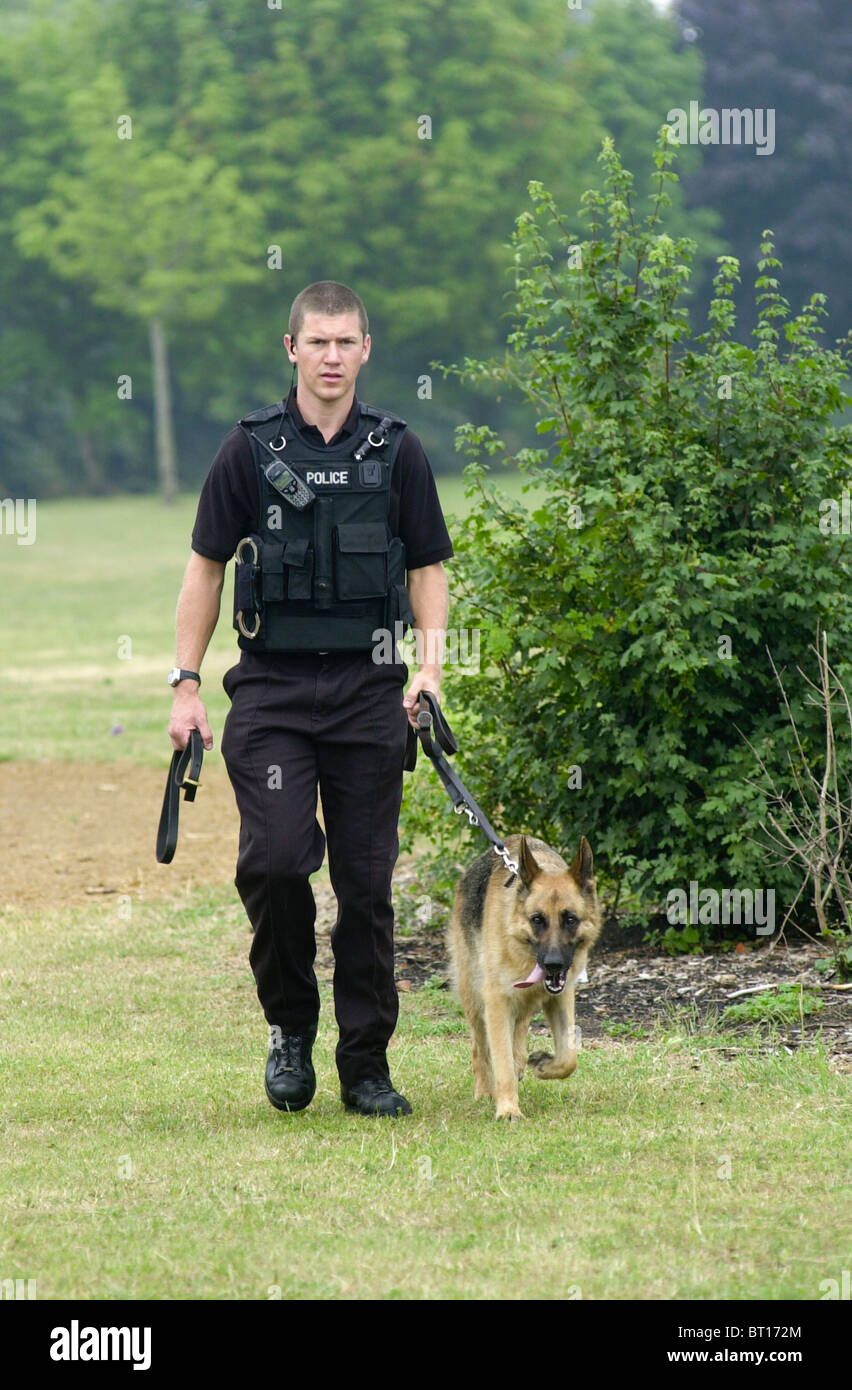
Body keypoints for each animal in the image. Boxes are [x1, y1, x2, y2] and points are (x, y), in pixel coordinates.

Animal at [447, 834, 600, 1117]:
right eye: (537, 919)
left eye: (570, 919)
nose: (553, 964)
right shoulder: (496, 1000)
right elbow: (501, 1061)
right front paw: (508, 1109)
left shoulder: (561, 997)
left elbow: (568, 1057)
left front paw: (543, 1065)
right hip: (473, 996)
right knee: (480, 1047)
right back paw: (484, 1091)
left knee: (519, 1028)